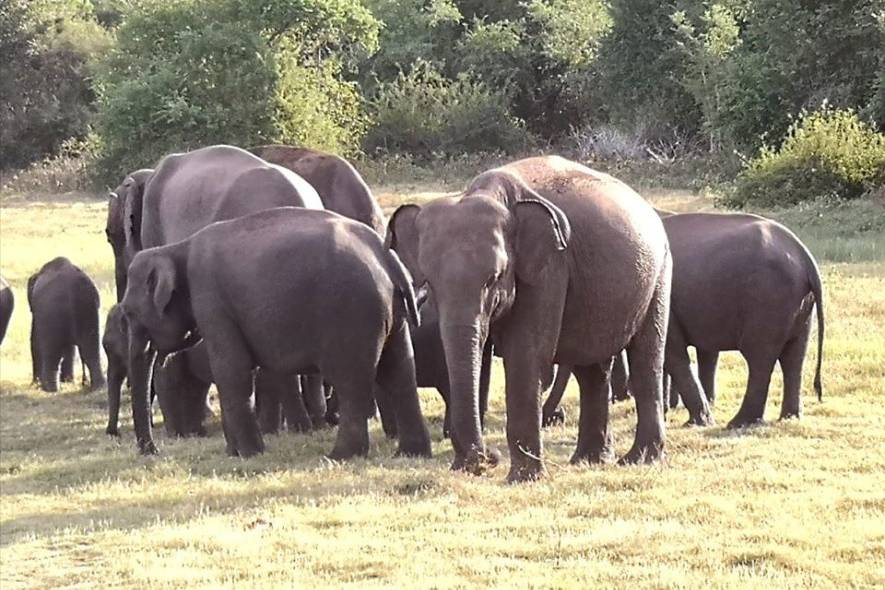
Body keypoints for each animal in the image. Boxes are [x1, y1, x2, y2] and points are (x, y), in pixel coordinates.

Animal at [27, 258, 104, 394]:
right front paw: (68, 381)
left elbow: (34, 341)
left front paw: (36, 384)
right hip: (89, 309)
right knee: (91, 349)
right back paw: (98, 387)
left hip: (53, 311)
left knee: (52, 352)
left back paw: (50, 389)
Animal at [120, 208, 432, 462]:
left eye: (129, 313)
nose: (153, 451)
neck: (176, 249)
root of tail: (386, 256)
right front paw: (234, 453)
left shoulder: (212, 301)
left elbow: (231, 370)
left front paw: (249, 455)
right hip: (394, 314)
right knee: (400, 372)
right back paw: (411, 454)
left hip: (352, 313)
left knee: (351, 381)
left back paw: (339, 457)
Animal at [386, 157, 668, 486]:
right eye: (429, 283)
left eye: (494, 278)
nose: (485, 459)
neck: (487, 192)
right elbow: (478, 354)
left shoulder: (550, 267)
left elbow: (526, 355)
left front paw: (522, 479)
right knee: (592, 368)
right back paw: (590, 459)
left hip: (659, 273)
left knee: (646, 357)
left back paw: (639, 459)